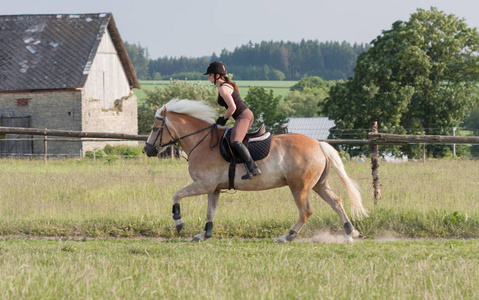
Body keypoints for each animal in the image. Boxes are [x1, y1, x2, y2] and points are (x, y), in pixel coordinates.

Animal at [142, 99, 368, 243]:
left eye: (155, 129)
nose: (147, 150)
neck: (202, 141)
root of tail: (318, 144)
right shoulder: (214, 188)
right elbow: (210, 211)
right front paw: (204, 235)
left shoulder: (203, 185)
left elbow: (177, 195)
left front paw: (179, 222)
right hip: (318, 184)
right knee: (336, 202)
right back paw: (351, 232)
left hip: (299, 187)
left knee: (306, 212)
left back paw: (287, 236)